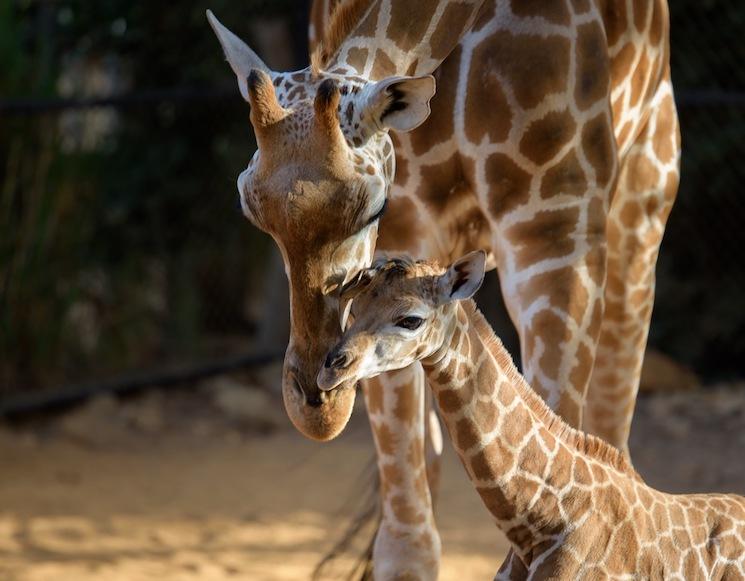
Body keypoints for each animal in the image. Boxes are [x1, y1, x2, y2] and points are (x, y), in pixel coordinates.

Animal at [206, 1, 676, 576]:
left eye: (372, 206)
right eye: (250, 209)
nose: (316, 405)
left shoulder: (557, 226)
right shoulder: (408, 234)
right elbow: (407, 545)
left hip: (647, 187)